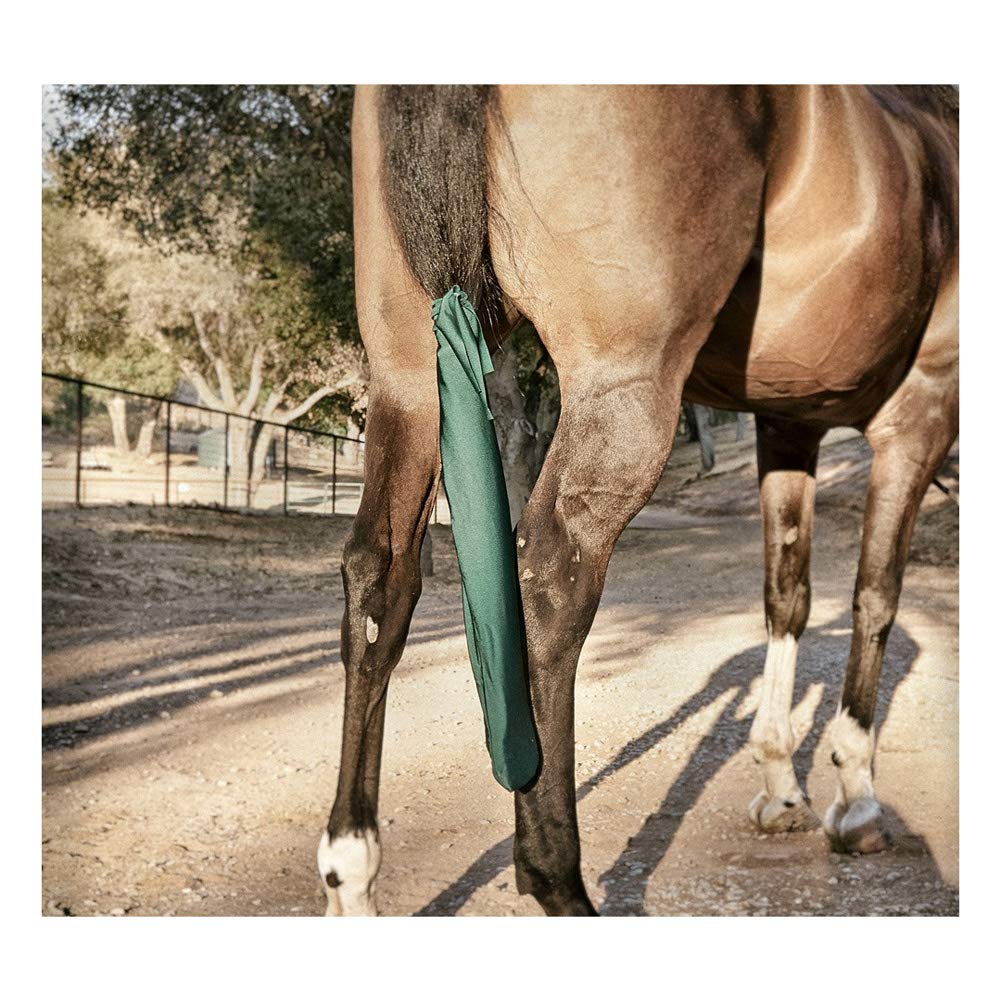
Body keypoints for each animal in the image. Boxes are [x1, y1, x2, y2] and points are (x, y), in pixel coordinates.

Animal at [317, 84, 958, 916]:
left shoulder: (787, 420)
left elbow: (785, 596)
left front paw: (780, 784)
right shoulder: (919, 411)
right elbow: (874, 597)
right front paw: (854, 797)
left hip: (406, 373)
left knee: (381, 580)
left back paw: (351, 869)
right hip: (624, 385)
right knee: (551, 581)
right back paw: (555, 879)